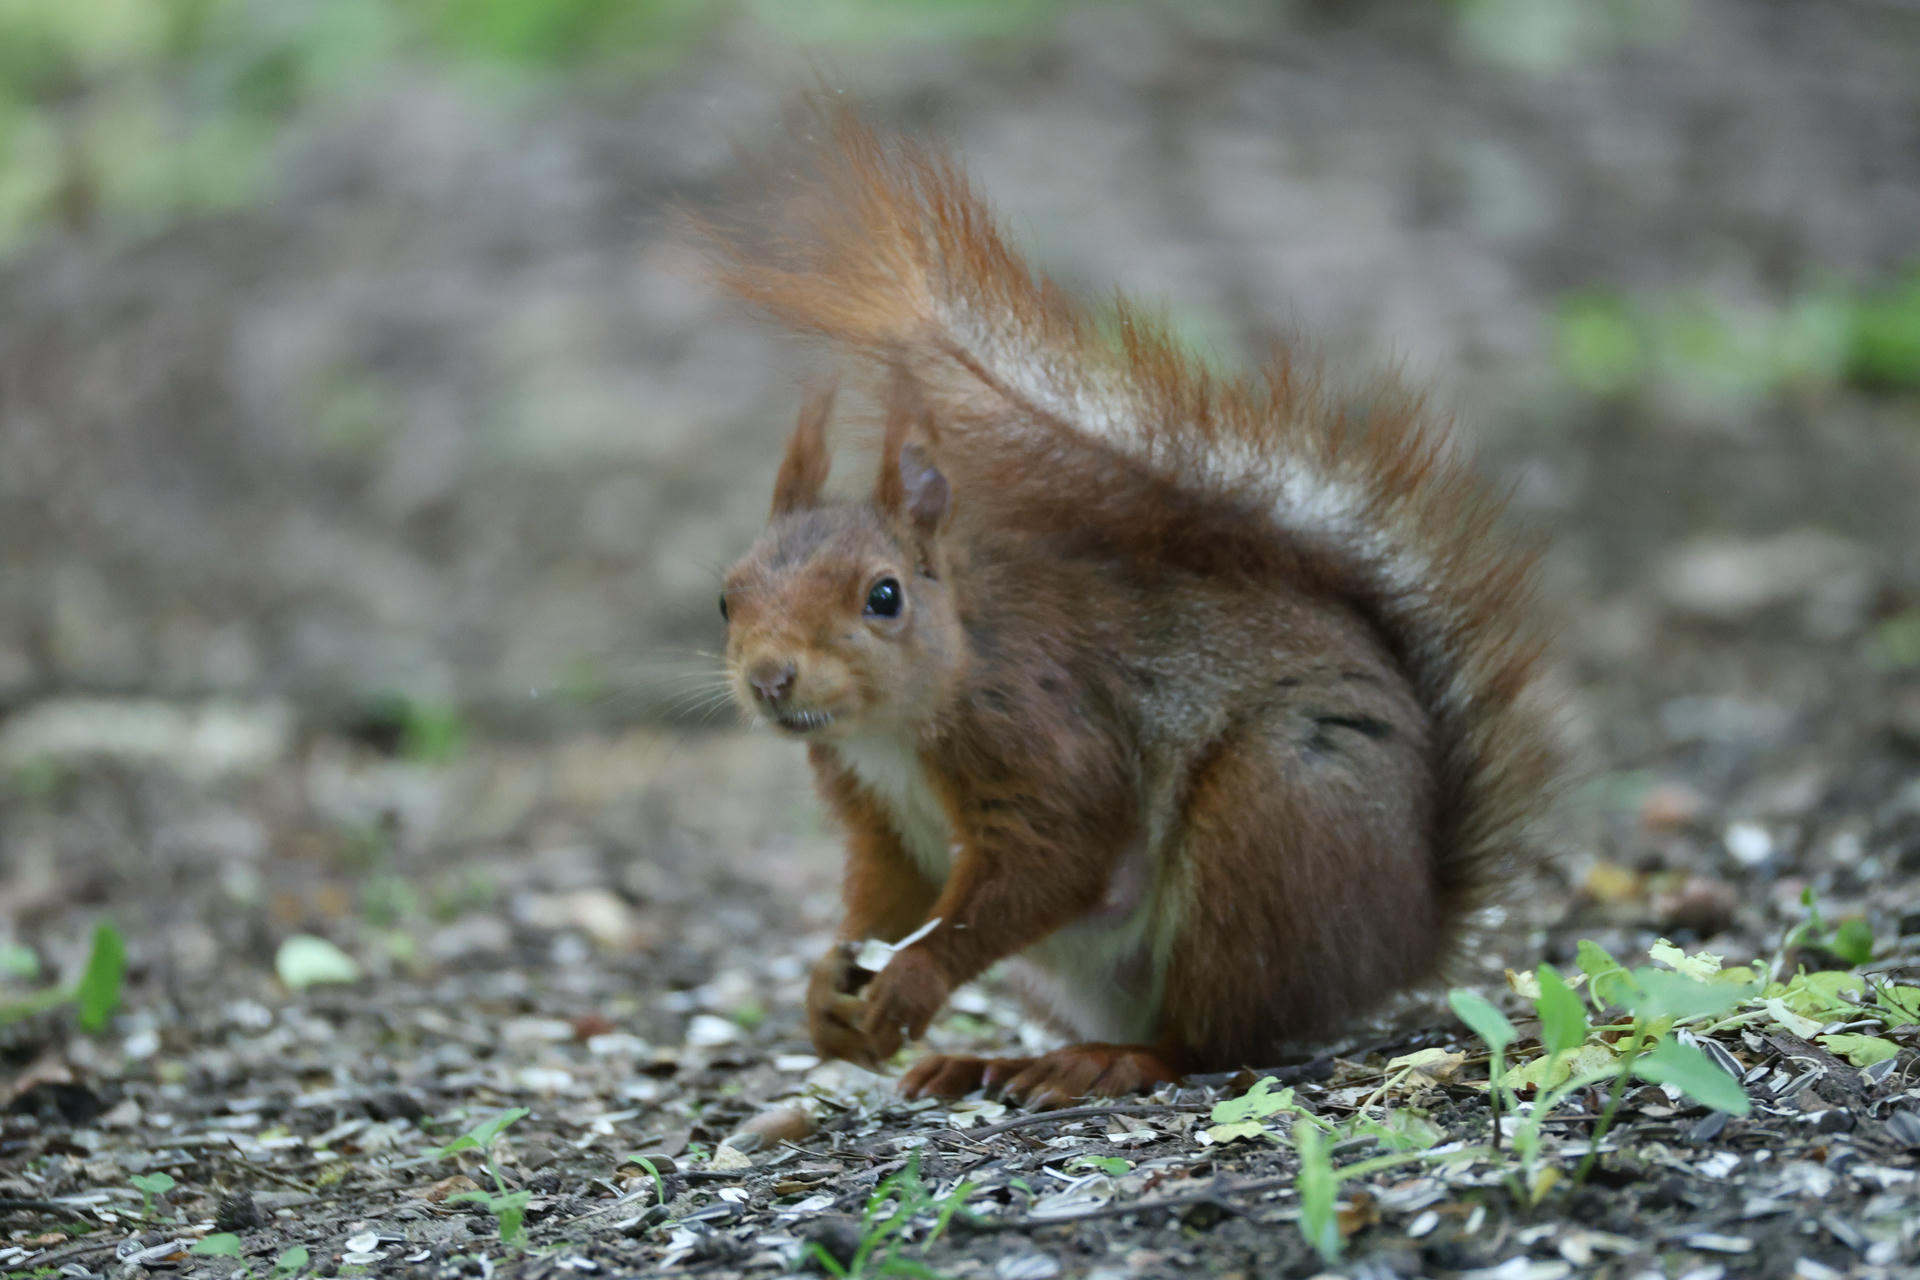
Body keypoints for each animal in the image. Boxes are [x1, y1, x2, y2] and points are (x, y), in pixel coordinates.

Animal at [708, 109, 1560, 1109]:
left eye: (885, 597)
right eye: (724, 599)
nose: (771, 679)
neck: (900, 723)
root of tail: (1409, 931)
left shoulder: (1041, 729)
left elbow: (1051, 862)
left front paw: (910, 982)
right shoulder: (873, 811)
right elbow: (886, 898)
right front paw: (824, 992)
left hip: (1270, 825)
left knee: (1216, 1036)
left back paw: (1112, 1062)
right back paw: (994, 1060)